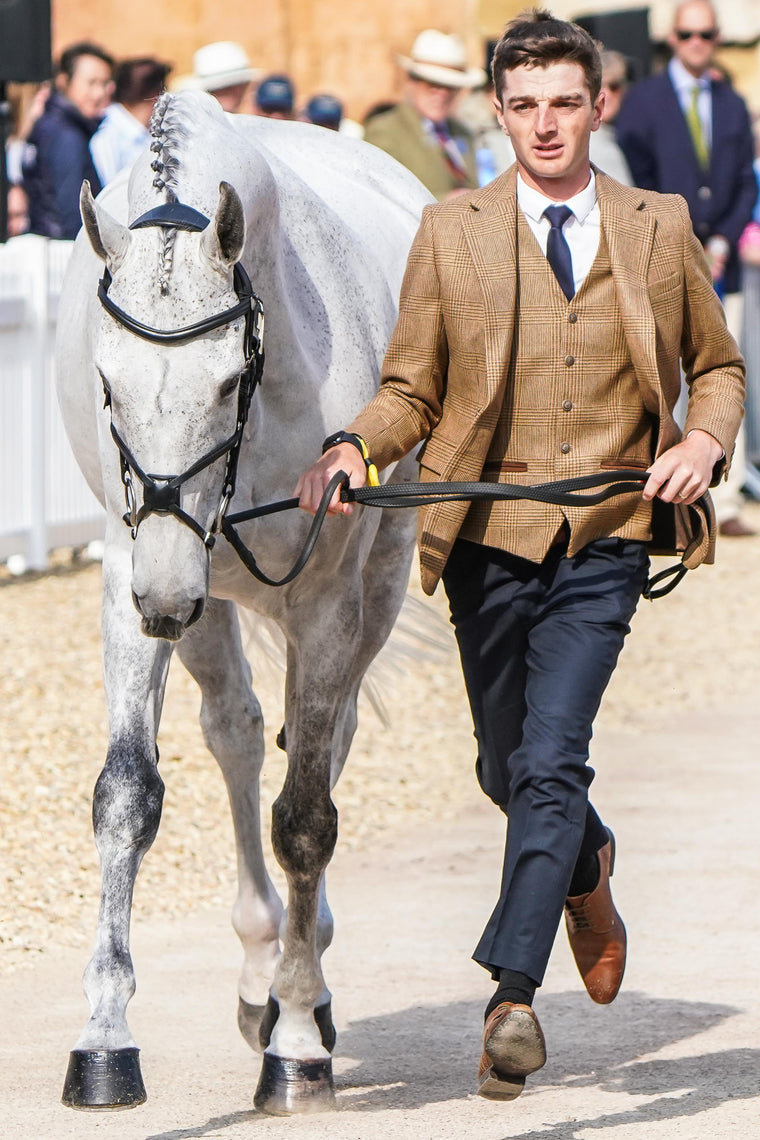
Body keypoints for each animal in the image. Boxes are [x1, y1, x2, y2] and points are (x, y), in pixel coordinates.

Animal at [55, 93, 430, 1117]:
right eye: (108, 385)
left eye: (227, 382)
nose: (164, 596)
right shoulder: (130, 575)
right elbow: (126, 796)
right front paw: (104, 1042)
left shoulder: (327, 594)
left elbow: (305, 818)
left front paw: (297, 1045)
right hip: (207, 600)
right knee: (238, 732)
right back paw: (262, 964)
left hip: (368, 583)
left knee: (322, 746)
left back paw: (303, 986)